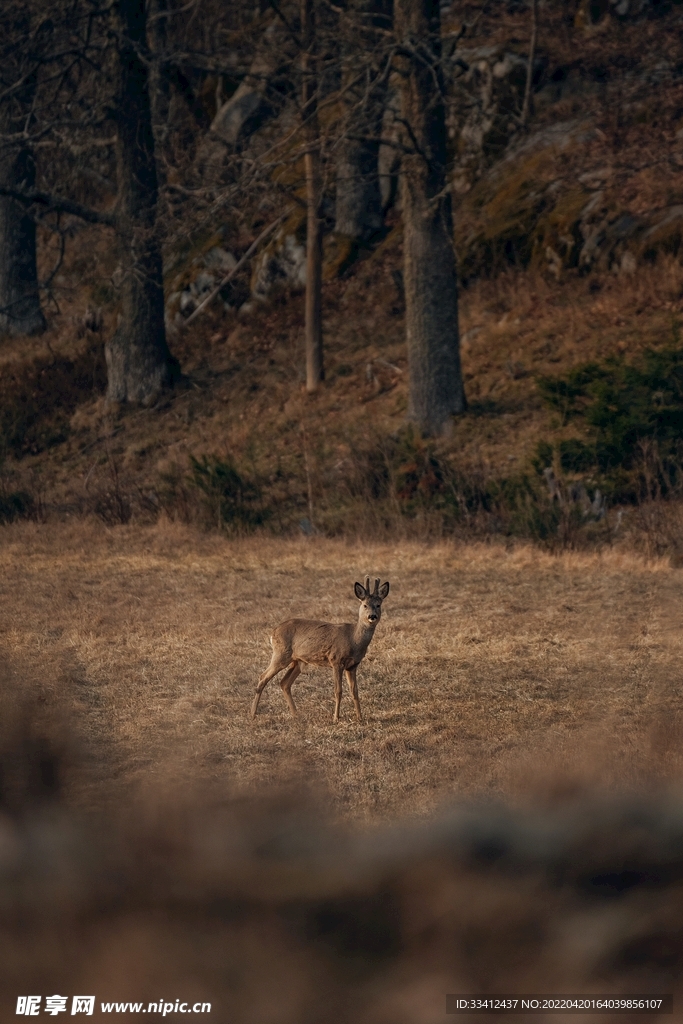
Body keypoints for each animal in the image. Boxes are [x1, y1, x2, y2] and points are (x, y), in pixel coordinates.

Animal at [251, 576, 390, 724]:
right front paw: (336, 718)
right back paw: (253, 714)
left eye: (378, 605)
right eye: (365, 605)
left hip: (298, 661)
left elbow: (355, 691)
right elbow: (338, 691)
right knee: (263, 677)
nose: (372, 616)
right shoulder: (336, 660)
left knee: (284, 683)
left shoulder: (352, 665)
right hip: (280, 654)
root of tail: (273, 632)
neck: (353, 639)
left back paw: (296, 714)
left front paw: (360, 717)